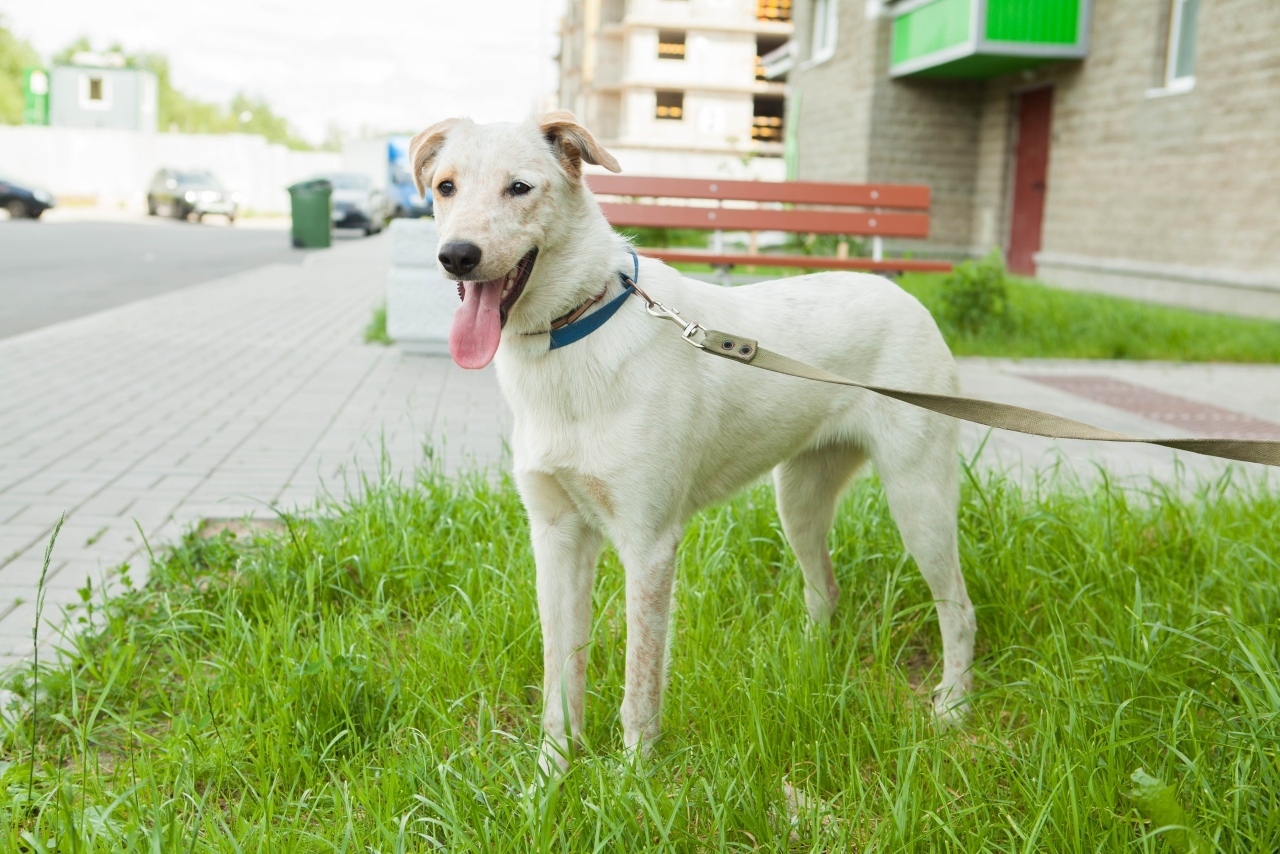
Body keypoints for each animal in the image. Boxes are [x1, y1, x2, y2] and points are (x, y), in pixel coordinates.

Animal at [414, 112, 972, 773]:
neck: (575, 328)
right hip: (799, 500)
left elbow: (640, 681)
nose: (457, 256)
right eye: (446, 187)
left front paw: (631, 775)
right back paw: (810, 666)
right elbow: (559, 673)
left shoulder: (649, 544)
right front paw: (552, 771)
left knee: (958, 608)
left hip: (919, 500)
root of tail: (906, 297)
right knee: (825, 588)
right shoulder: (555, 536)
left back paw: (953, 706)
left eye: (520, 188)